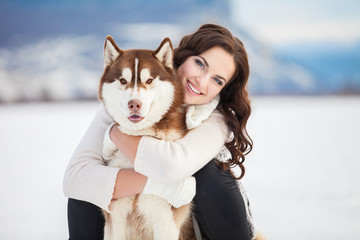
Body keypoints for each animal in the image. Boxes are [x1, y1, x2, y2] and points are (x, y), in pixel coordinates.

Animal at [97, 35, 193, 240]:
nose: (134, 104)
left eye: (149, 80)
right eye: (123, 80)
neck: (140, 138)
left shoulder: (165, 219)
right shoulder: (115, 217)